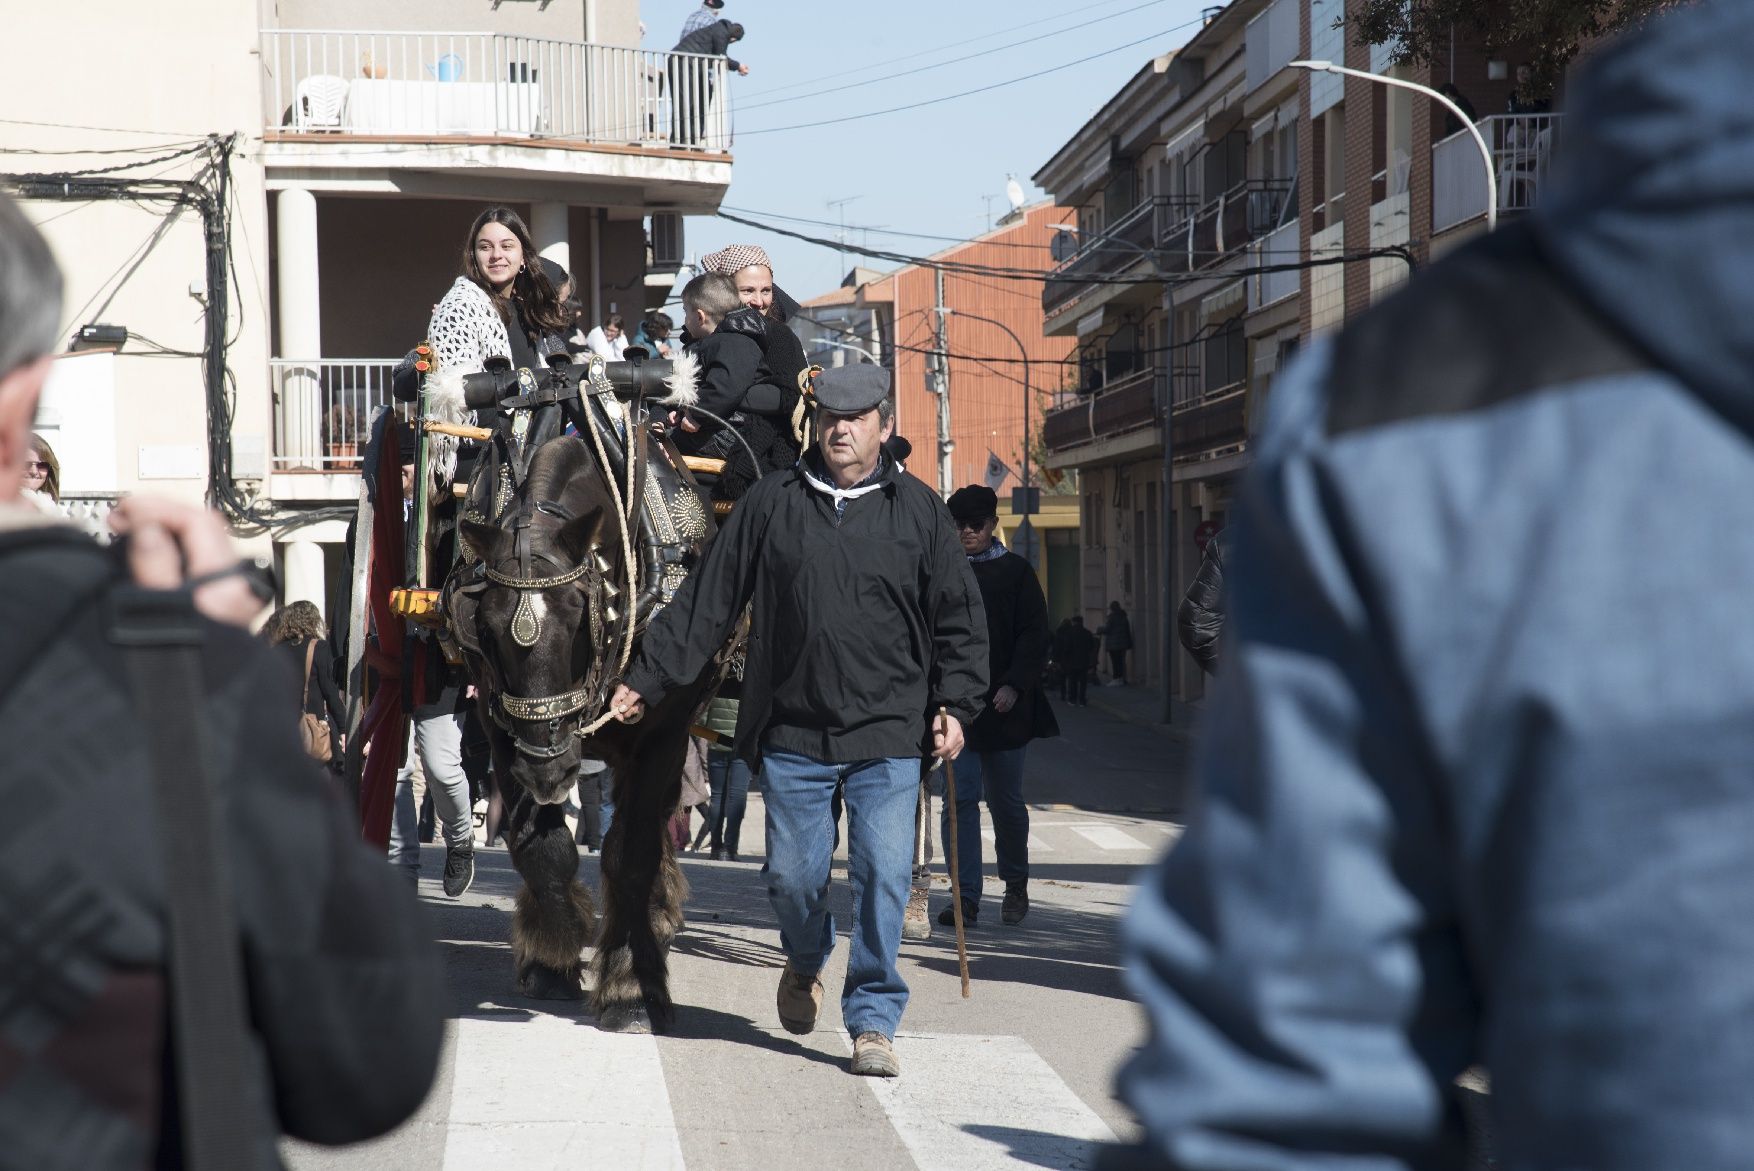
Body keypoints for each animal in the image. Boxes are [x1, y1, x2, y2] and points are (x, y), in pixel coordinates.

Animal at [449, 432, 715, 1030]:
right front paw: (553, 957)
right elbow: (544, 850)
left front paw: (632, 985)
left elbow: (631, 855)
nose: (549, 768)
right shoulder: (502, 737)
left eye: (578, 615)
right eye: (486, 626)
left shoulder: (660, 738)